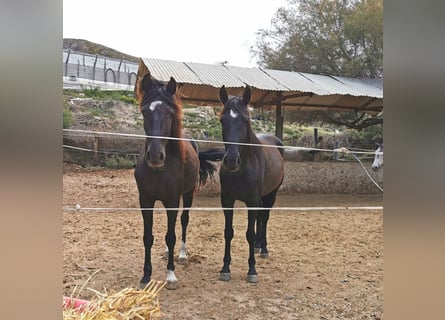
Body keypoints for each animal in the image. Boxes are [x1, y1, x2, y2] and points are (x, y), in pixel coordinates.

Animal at [134, 73, 220, 290]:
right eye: (145, 112)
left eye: (169, 113)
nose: (155, 156)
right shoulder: (145, 201)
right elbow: (148, 237)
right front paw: (145, 276)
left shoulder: (172, 201)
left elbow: (171, 235)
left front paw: (171, 275)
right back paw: (167, 252)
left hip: (188, 195)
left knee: (183, 221)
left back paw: (181, 255)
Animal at [218, 84, 284, 282]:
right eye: (222, 120)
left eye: (245, 120)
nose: (232, 161)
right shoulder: (227, 200)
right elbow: (228, 232)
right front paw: (225, 268)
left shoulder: (253, 200)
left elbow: (249, 232)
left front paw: (252, 270)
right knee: (260, 219)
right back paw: (257, 245)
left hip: (270, 195)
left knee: (264, 217)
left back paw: (263, 248)